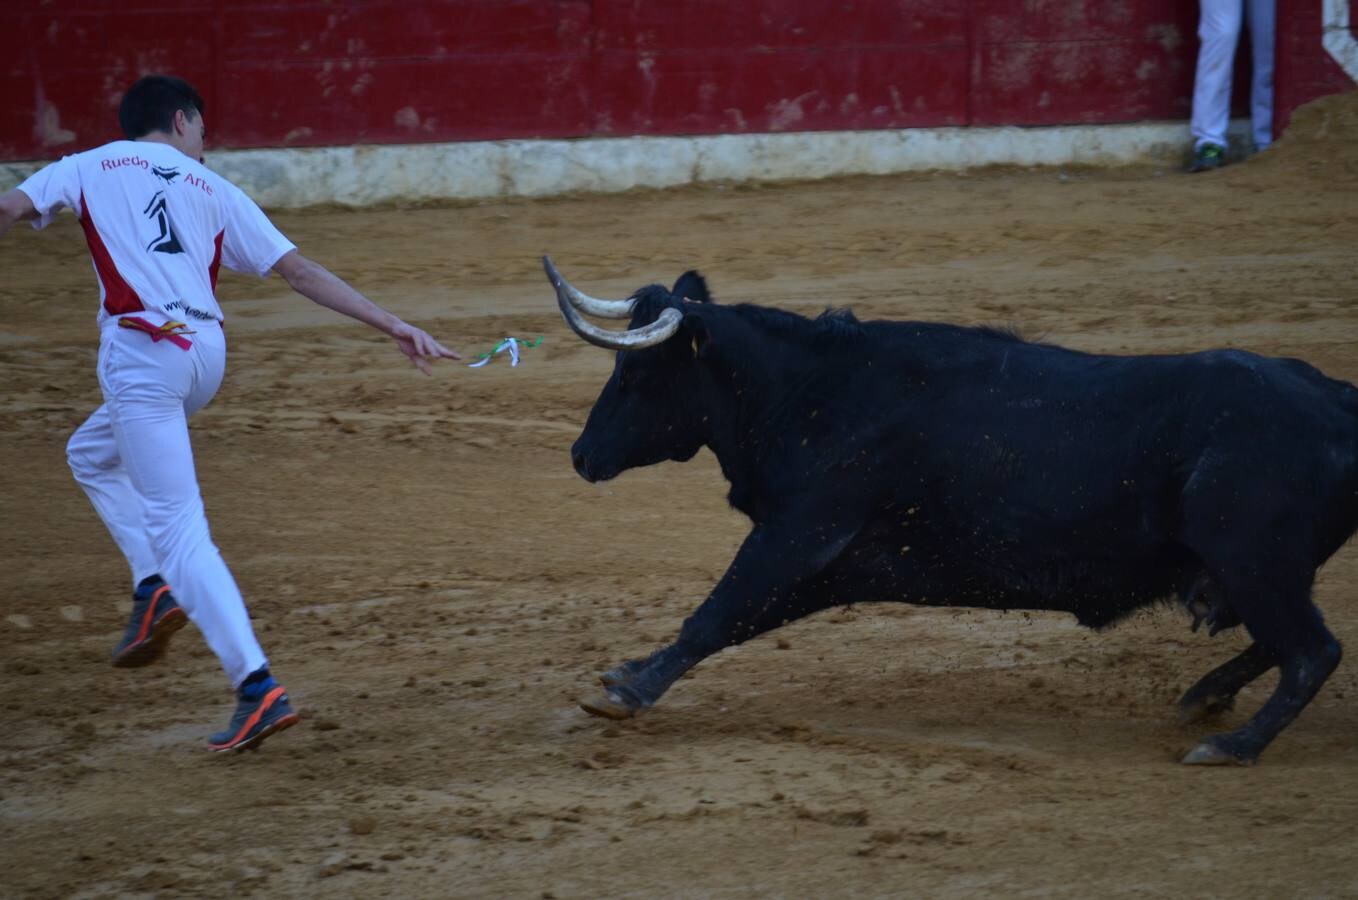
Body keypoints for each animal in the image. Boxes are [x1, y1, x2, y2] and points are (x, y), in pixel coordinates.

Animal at [545, 259, 1352, 765]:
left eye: (638, 372)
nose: (581, 455)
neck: (811, 393)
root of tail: (1336, 401)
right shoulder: (835, 563)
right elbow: (740, 616)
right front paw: (631, 671)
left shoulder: (798, 537)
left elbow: (718, 611)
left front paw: (628, 690)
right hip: (1254, 570)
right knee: (1283, 643)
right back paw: (1203, 700)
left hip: (1253, 559)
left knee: (1312, 651)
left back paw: (1230, 747)